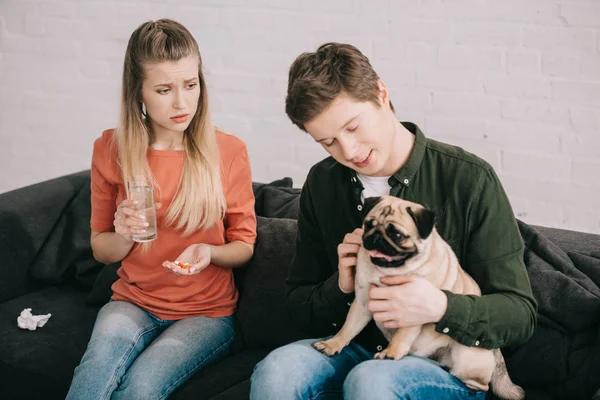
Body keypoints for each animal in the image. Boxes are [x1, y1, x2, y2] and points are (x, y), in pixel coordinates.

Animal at [314, 195, 524, 398]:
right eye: (368, 225)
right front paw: (333, 343)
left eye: (397, 235)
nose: (375, 237)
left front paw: (391, 353)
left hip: (466, 358)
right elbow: (348, 328)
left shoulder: (411, 311)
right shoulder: (363, 302)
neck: (387, 271)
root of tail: (495, 350)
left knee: (481, 386)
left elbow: (401, 335)